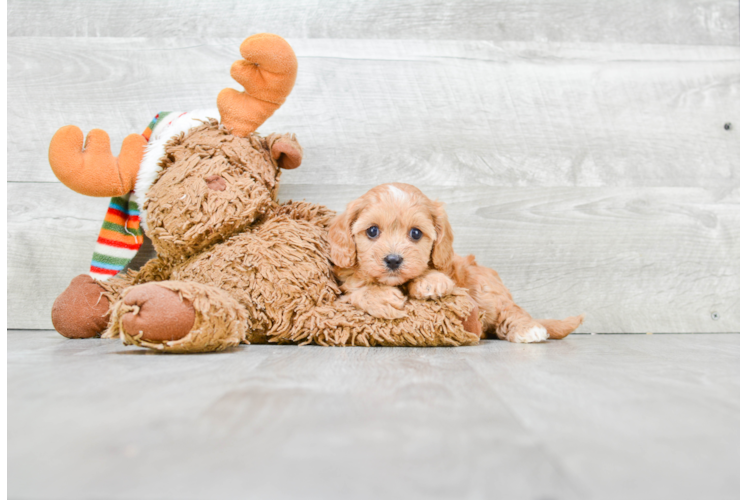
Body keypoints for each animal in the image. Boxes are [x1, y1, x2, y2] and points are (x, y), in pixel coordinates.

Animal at [328, 184, 584, 344]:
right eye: (372, 231)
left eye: (415, 233)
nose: (393, 260)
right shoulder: (342, 287)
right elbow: (356, 288)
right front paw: (380, 297)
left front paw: (431, 281)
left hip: (484, 288)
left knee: (510, 309)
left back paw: (528, 328)